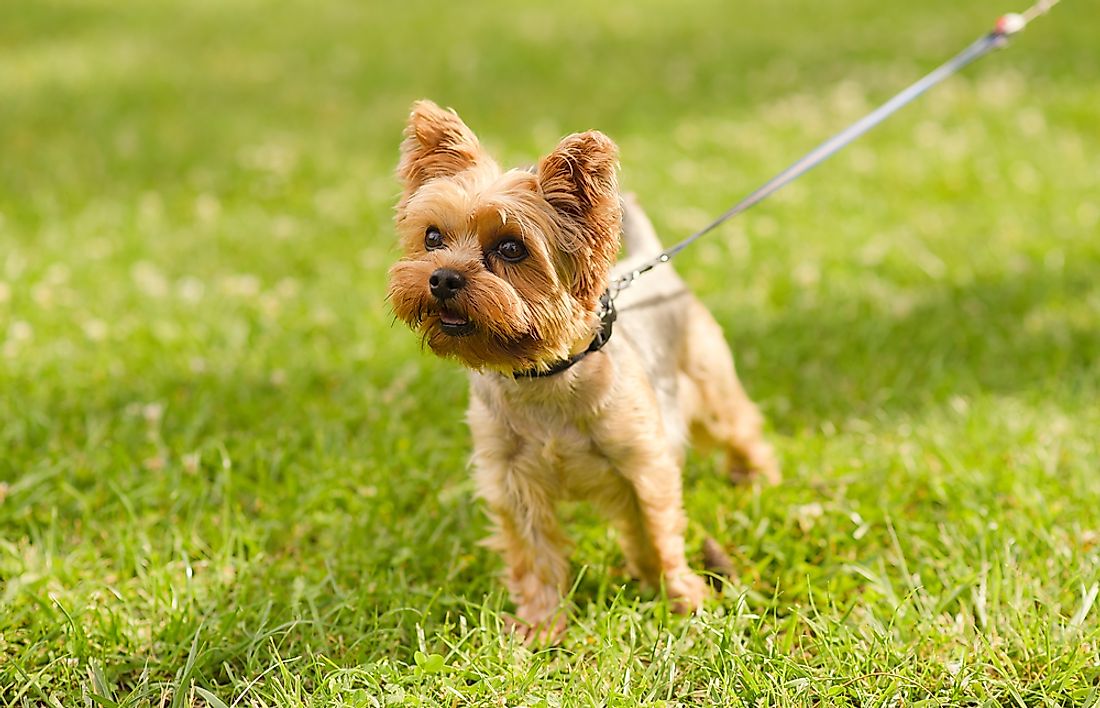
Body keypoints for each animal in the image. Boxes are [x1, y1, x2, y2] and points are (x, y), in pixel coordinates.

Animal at [391, 102, 778, 646]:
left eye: (511, 248)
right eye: (431, 237)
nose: (442, 278)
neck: (541, 375)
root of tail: (652, 260)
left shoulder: (645, 464)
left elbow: (662, 530)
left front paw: (685, 599)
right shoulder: (511, 480)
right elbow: (535, 556)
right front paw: (540, 626)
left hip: (710, 385)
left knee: (740, 427)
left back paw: (760, 478)